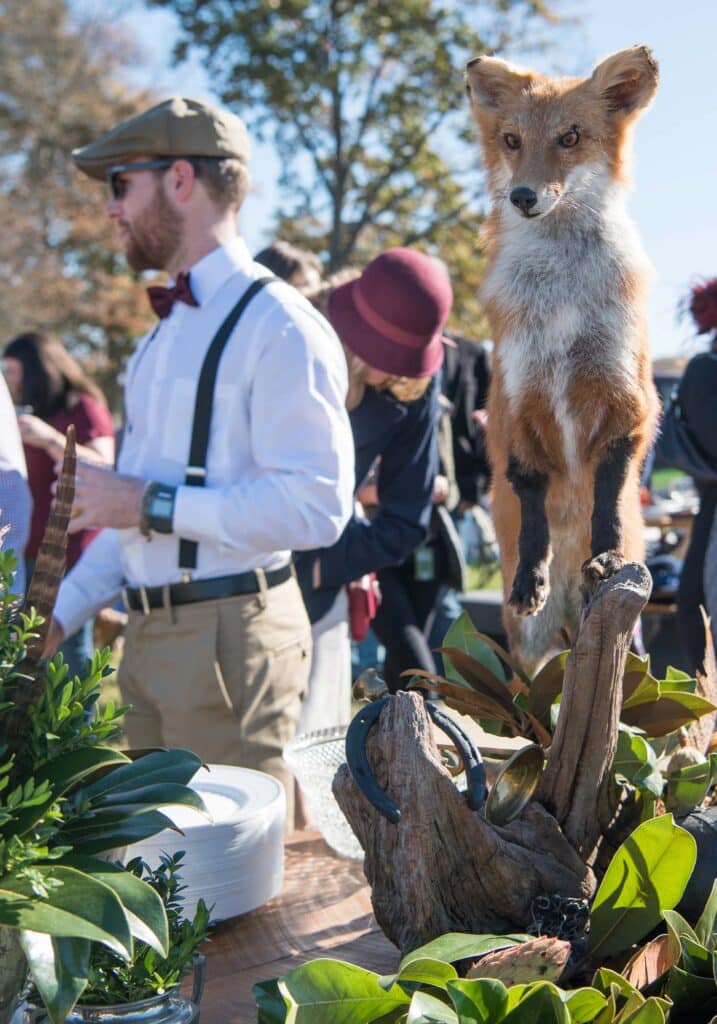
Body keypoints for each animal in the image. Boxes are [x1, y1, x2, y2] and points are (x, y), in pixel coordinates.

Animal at [465, 46, 659, 671]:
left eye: (570, 137)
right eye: (512, 141)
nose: (523, 197)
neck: (563, 310)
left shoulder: (629, 402)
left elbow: (607, 499)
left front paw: (606, 554)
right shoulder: (515, 405)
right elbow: (532, 512)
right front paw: (532, 575)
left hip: (632, 639)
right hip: (530, 644)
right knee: (526, 688)